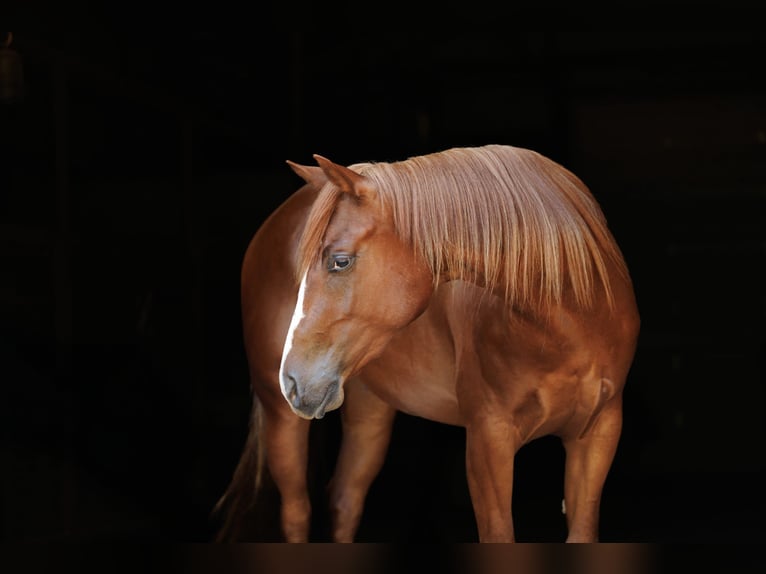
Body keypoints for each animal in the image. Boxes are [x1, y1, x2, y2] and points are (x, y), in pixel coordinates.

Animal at [213, 144, 640, 542]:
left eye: (340, 260)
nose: (292, 379)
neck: (570, 323)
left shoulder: (598, 436)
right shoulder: (488, 441)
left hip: (369, 410)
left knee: (344, 501)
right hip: (282, 417)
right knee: (297, 512)